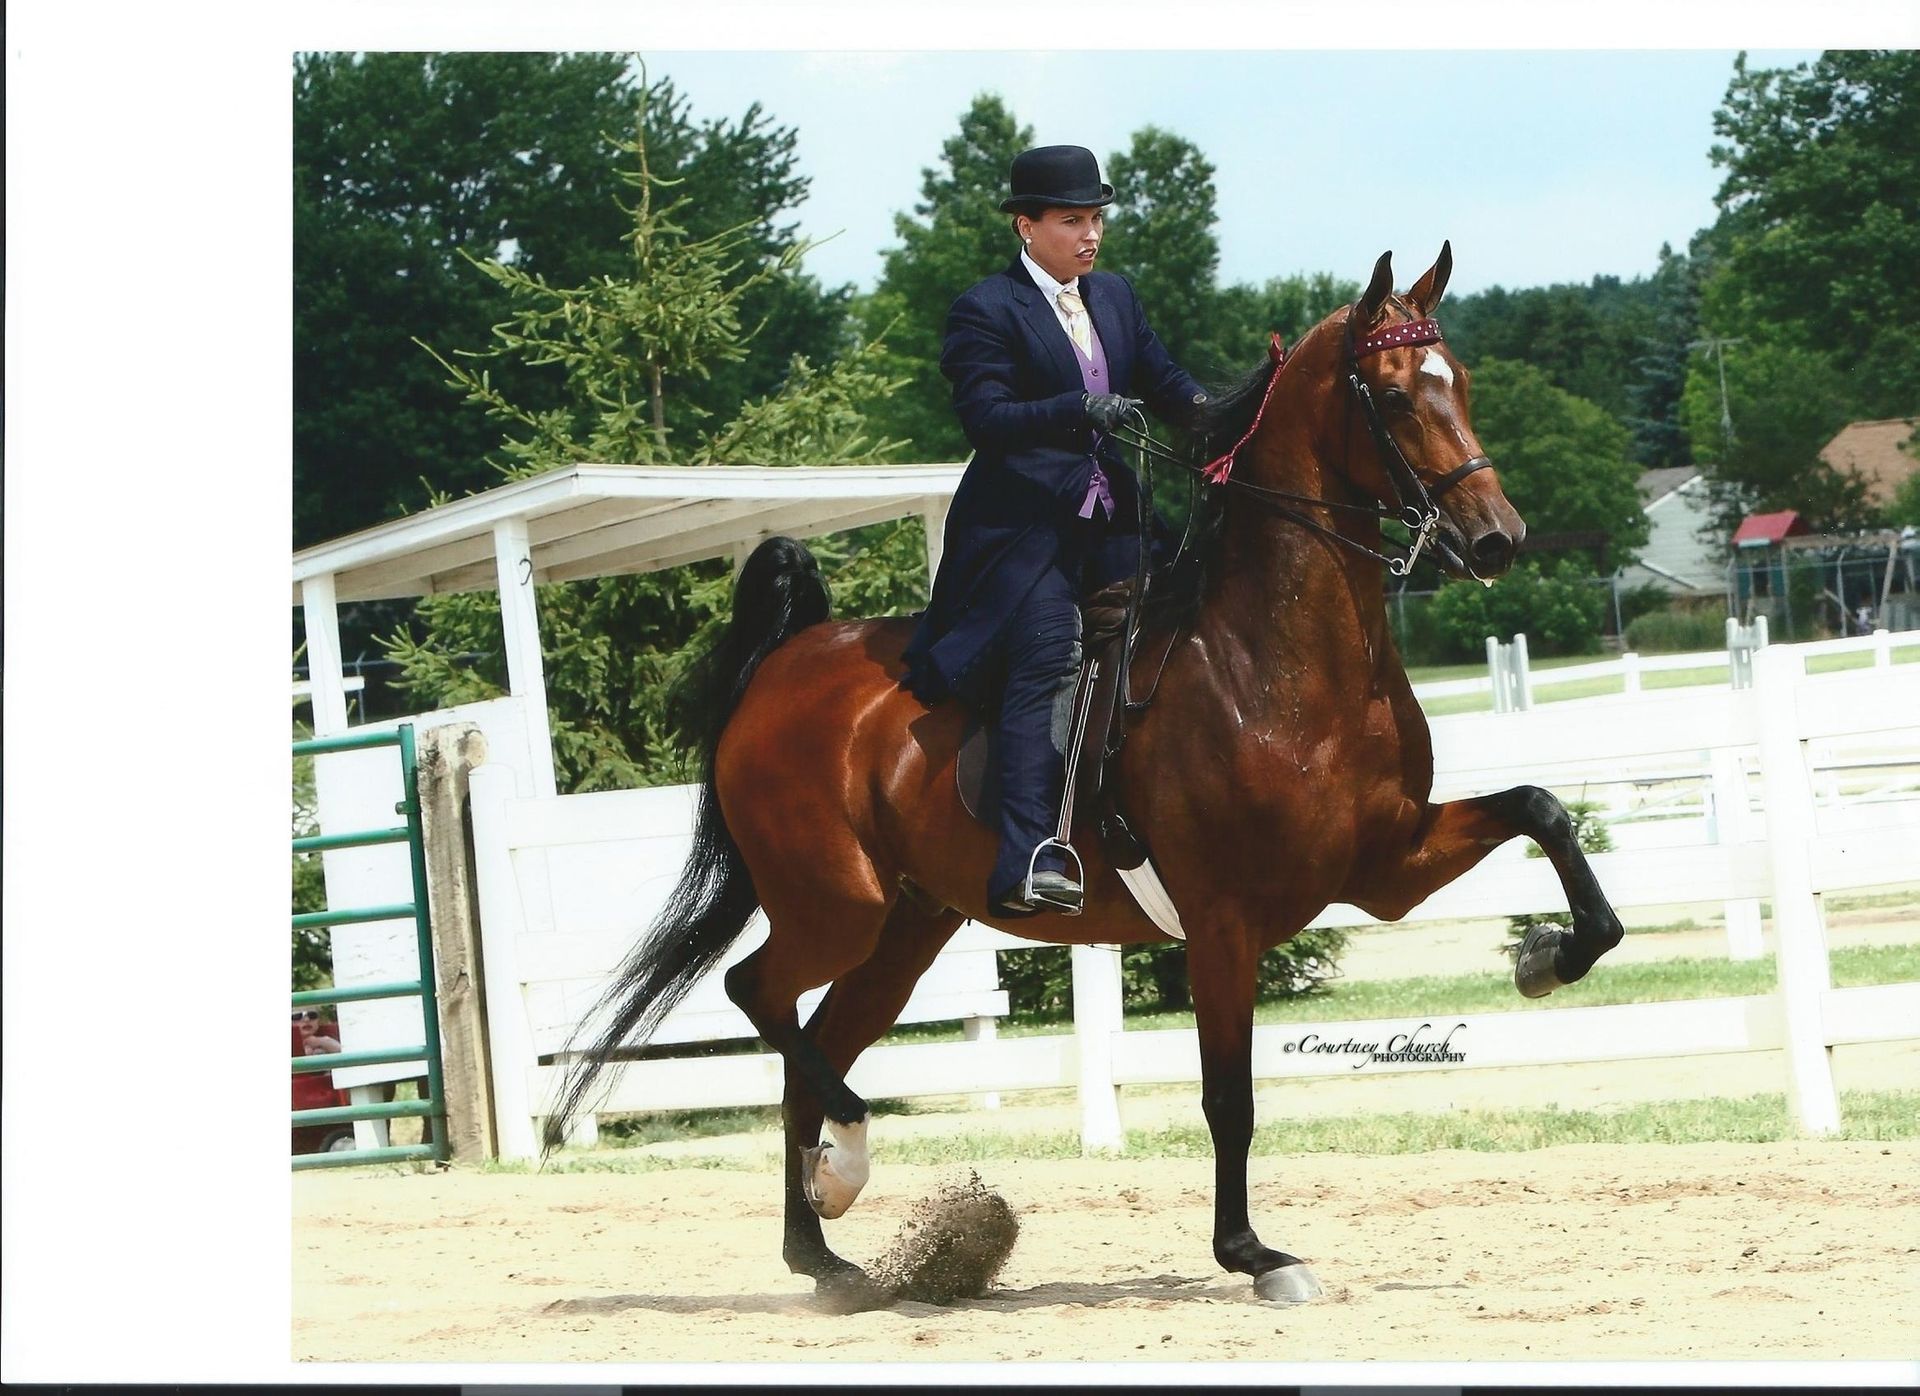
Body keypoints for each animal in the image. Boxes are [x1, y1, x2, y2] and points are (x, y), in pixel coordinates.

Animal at [546, 243, 1626, 1307]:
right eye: (1395, 396)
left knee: (810, 1055)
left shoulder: (1386, 863)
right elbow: (1228, 1097)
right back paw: (845, 1167)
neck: (1273, 660)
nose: (1496, 539)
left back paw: (826, 1256)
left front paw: (1550, 956)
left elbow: (1541, 811)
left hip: (902, 930)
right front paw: (1253, 1254)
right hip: (835, 906)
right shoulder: (1223, 919)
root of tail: (785, 663)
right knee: (758, 996)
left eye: (1464, 384)